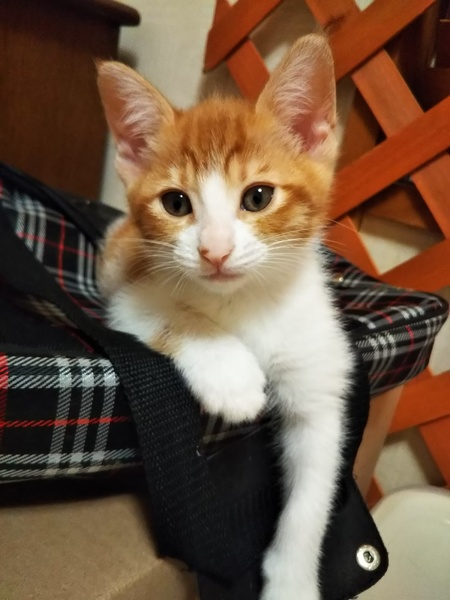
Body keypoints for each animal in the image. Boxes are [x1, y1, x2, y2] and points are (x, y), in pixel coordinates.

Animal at [97, 34, 352, 600]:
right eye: (175, 203)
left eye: (258, 196)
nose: (213, 251)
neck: (246, 302)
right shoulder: (129, 296)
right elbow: (166, 312)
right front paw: (232, 377)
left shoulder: (317, 382)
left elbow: (313, 489)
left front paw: (292, 583)